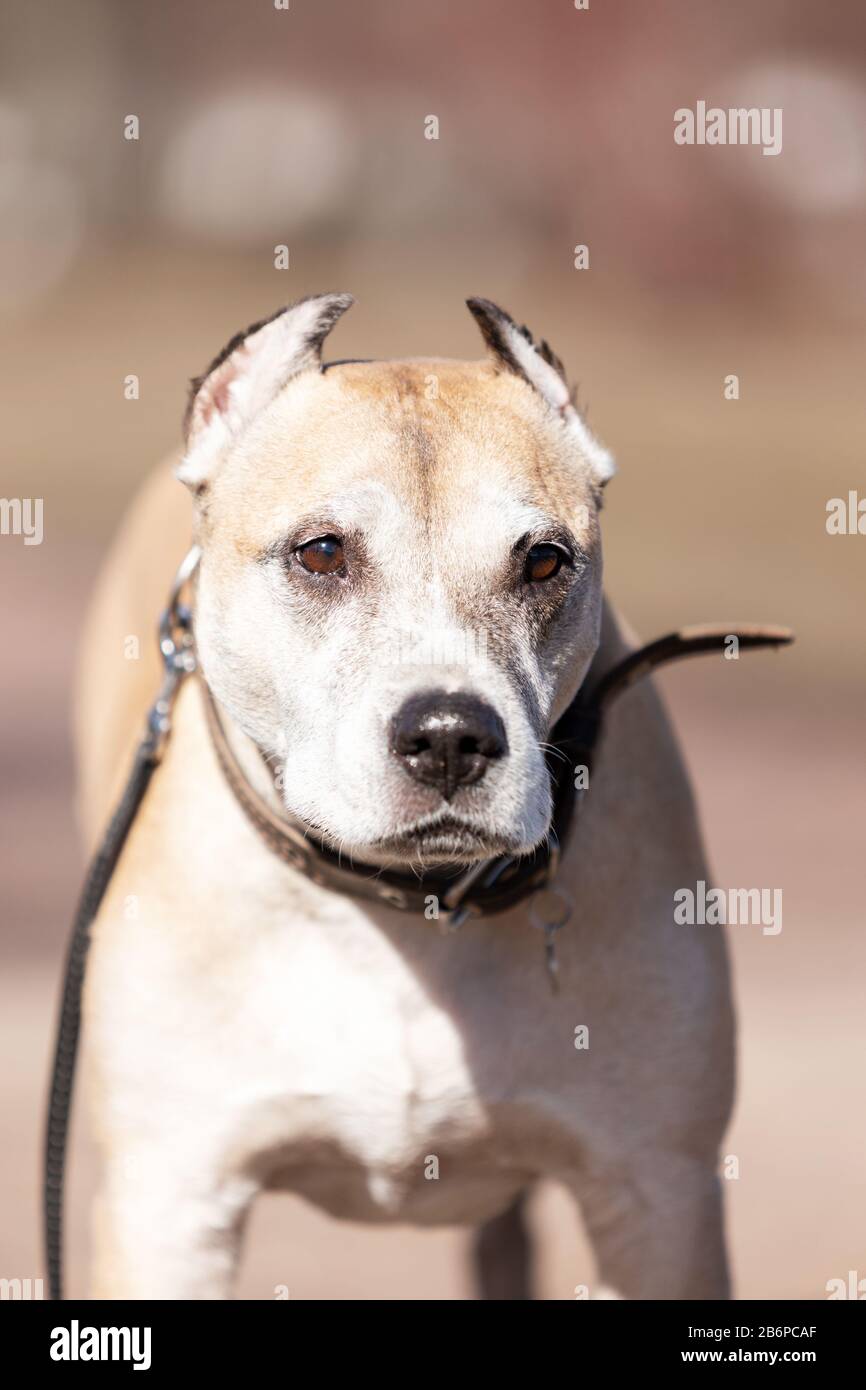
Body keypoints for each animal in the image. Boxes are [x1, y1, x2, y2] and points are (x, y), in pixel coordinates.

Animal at [77, 296, 733, 1301]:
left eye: (545, 563)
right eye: (321, 553)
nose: (452, 736)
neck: (401, 910)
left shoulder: (659, 1196)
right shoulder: (170, 1206)